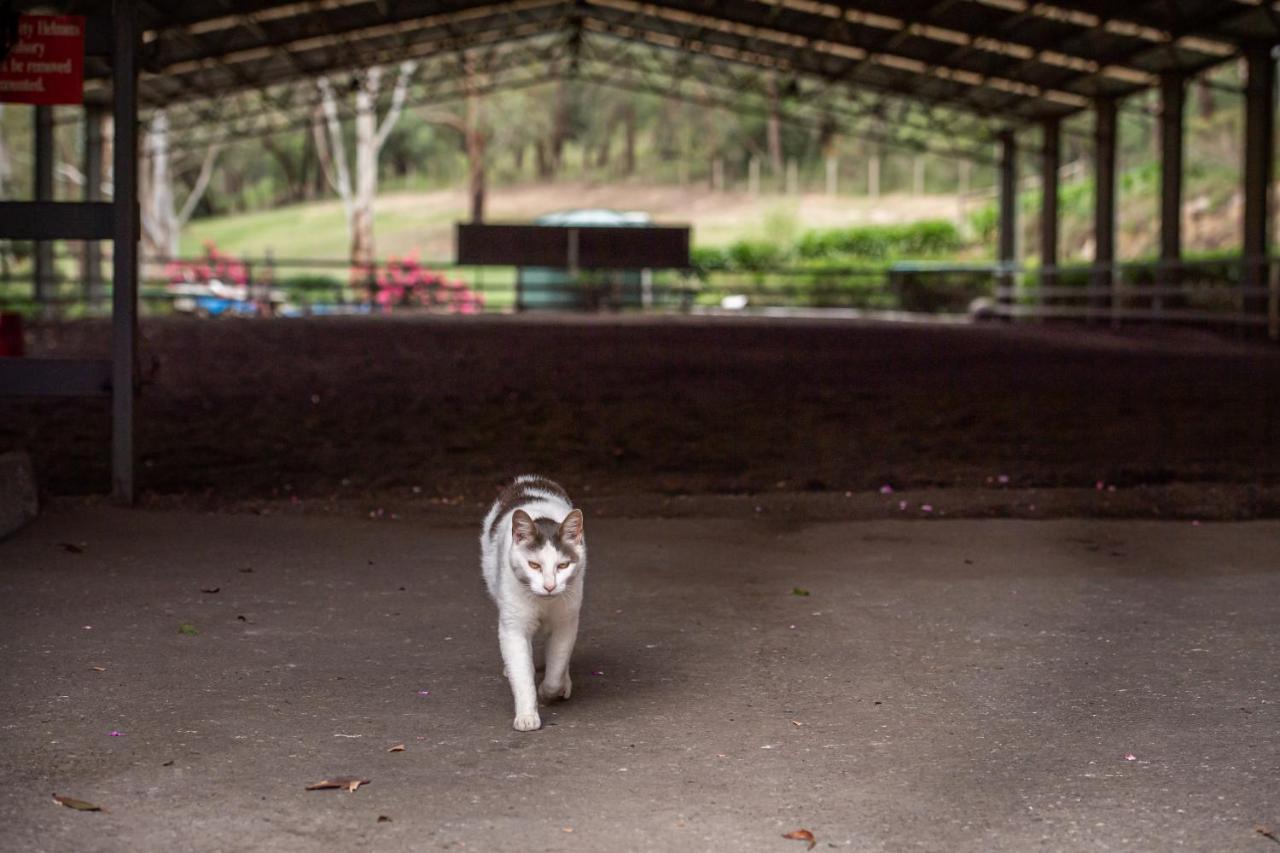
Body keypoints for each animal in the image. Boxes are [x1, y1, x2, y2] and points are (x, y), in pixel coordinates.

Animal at [478, 471, 586, 732]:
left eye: (563, 565)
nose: (549, 586)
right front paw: (527, 716)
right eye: (534, 565)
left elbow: (557, 664)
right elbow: (522, 673)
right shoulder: (513, 627)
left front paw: (550, 691)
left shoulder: (566, 621)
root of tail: (529, 479)